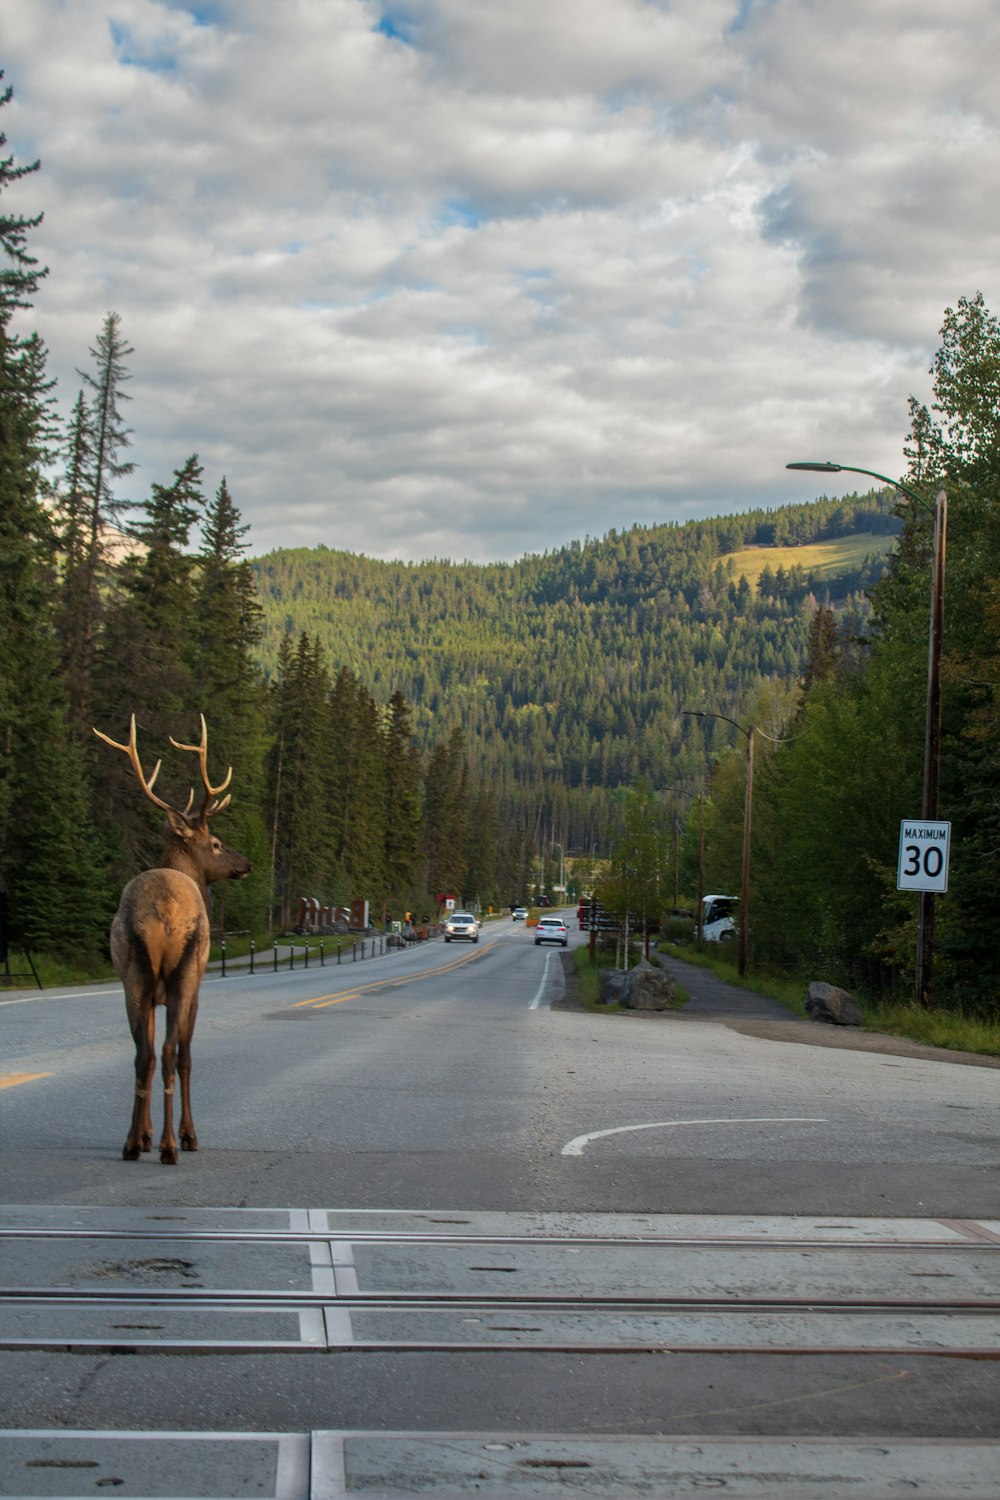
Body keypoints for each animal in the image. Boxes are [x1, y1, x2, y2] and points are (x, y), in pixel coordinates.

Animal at [93, 714, 251, 1158]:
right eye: (215, 843)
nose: (246, 863)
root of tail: (163, 911)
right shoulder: (197, 987)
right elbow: (186, 1057)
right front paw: (184, 1135)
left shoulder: (149, 991)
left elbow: (145, 1052)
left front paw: (144, 1133)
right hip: (184, 971)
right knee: (168, 1053)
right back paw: (172, 1145)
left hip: (134, 974)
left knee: (143, 1054)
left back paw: (134, 1143)